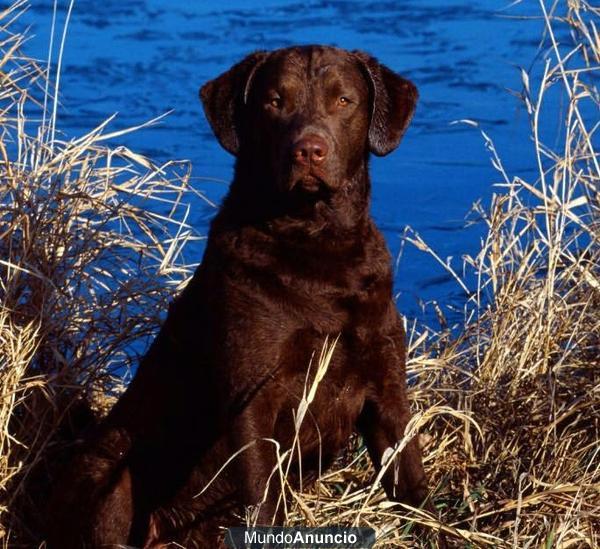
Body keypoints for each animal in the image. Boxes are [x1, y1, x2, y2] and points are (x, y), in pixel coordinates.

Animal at [47, 45, 432, 544]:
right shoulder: (253, 397)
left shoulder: (386, 389)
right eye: (274, 101)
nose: (309, 150)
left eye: (344, 100)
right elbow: (262, 498)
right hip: (109, 473)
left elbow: (411, 479)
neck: (316, 246)